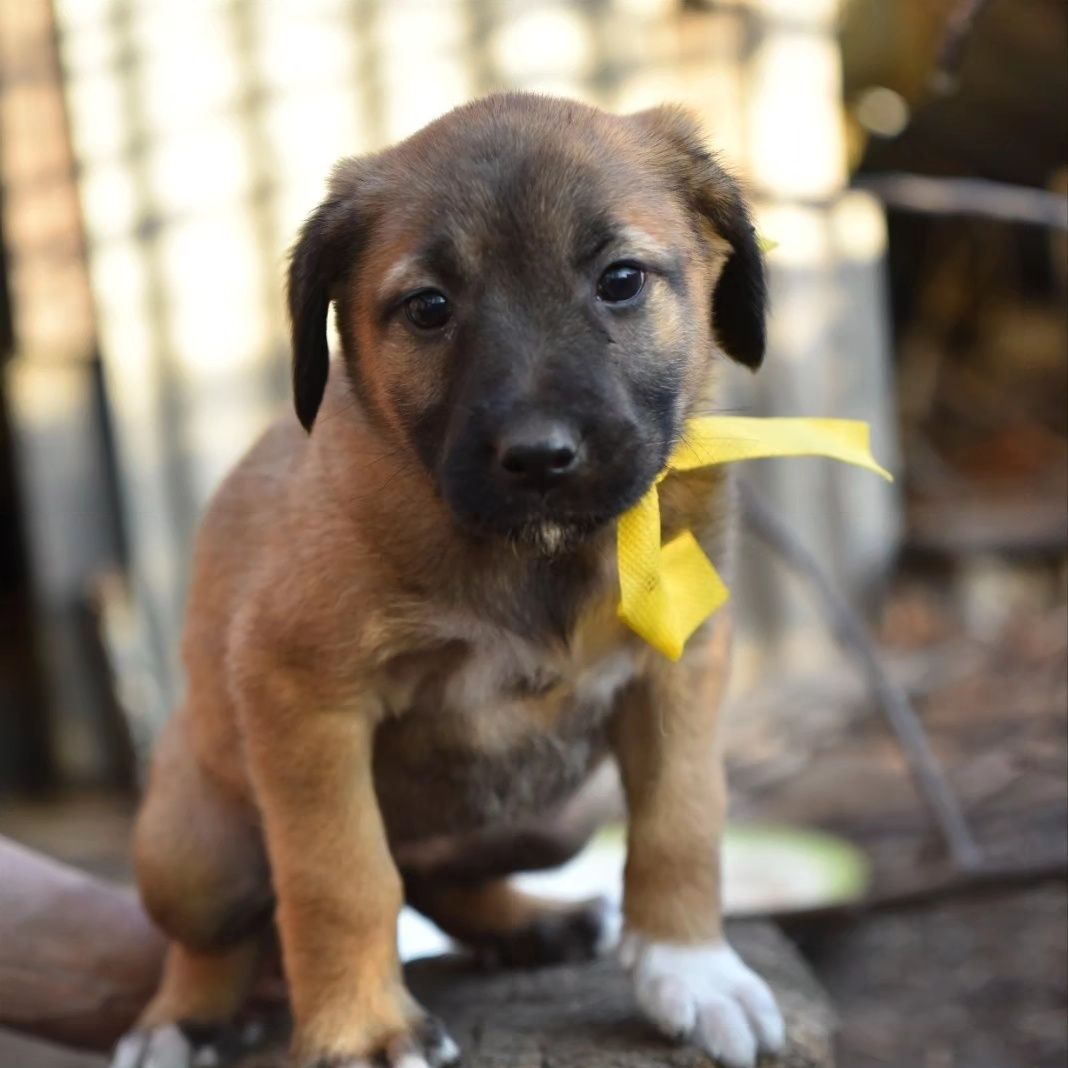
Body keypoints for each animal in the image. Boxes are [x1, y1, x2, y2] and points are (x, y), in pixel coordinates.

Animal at [114, 93, 786, 1068]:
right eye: (428, 307)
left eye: (621, 280)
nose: (541, 457)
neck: (532, 553)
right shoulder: (301, 695)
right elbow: (340, 876)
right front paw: (362, 1029)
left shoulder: (680, 664)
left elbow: (683, 820)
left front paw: (691, 969)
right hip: (191, 848)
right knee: (221, 934)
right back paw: (186, 1016)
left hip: (555, 816)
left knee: (439, 879)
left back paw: (530, 924)